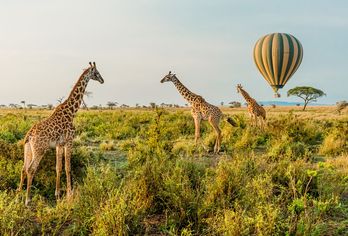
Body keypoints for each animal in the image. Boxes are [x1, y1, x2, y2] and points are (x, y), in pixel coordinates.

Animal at [17, 62, 104, 205]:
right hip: (40, 150)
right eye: (96, 73)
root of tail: (29, 135)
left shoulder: (59, 144)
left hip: (28, 149)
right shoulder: (69, 141)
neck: (72, 112)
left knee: (23, 168)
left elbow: (58, 167)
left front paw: (57, 193)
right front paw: (70, 194)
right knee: (31, 169)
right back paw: (27, 200)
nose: (102, 80)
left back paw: (18, 195)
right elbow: (68, 167)